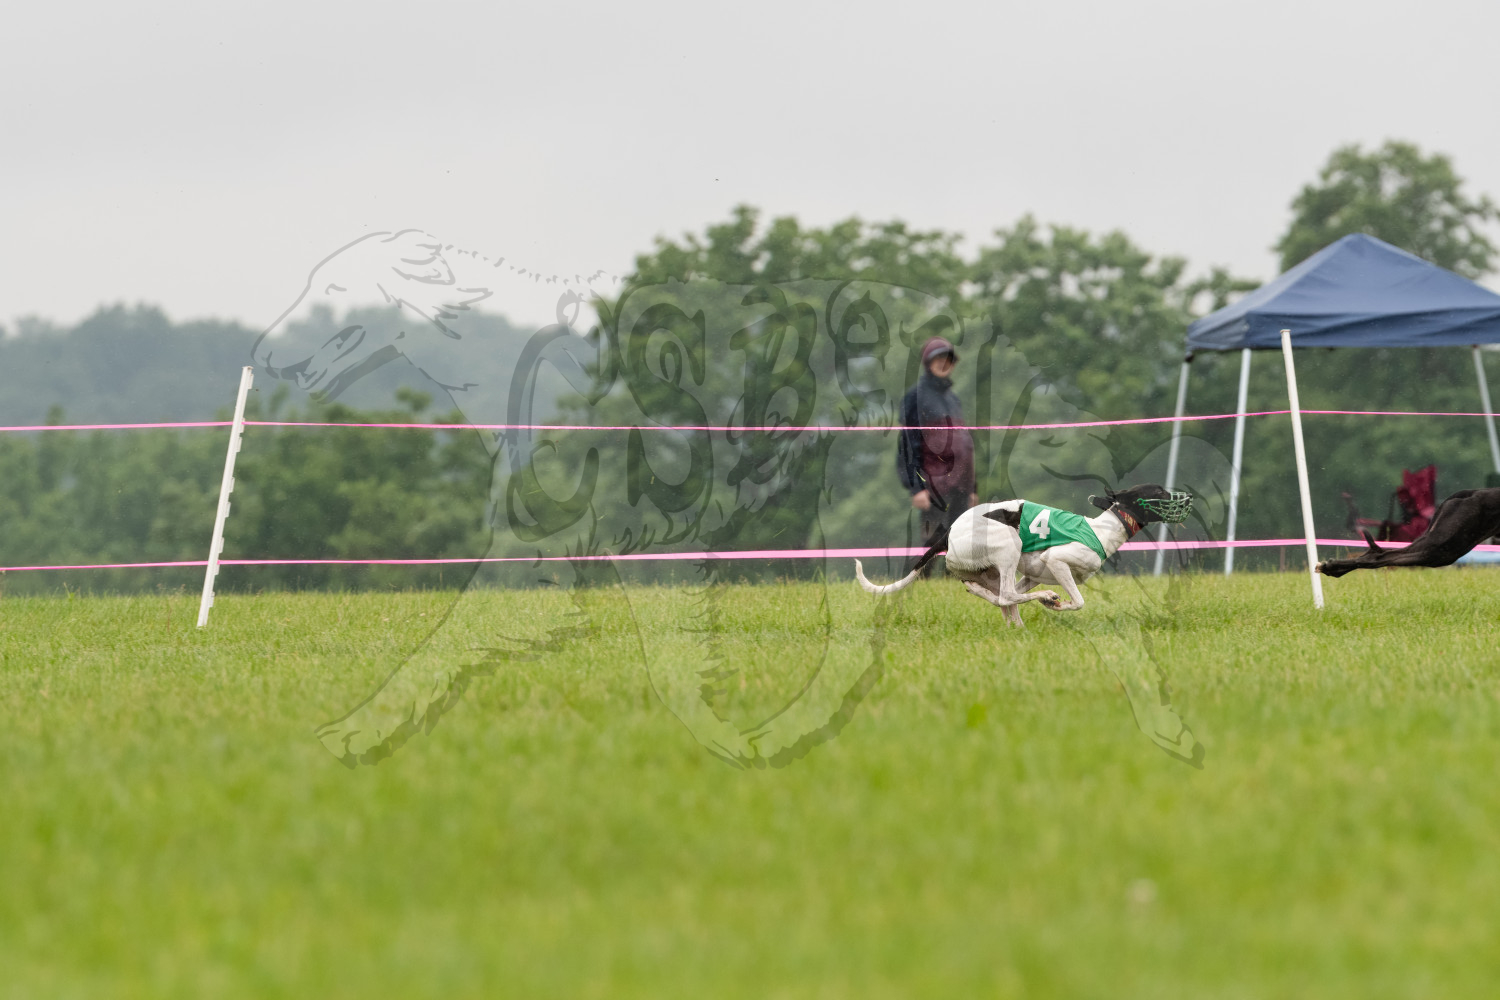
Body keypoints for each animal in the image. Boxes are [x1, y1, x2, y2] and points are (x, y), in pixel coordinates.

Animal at [855, 484, 1194, 625]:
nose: (1188, 497)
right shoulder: (1055, 561)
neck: (1103, 528)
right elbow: (1078, 601)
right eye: (1159, 492)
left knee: (999, 598)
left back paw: (1015, 622)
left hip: (989, 570)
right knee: (1005, 595)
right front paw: (1057, 603)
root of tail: (947, 533)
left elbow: (1016, 595)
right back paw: (1045, 598)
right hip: (1007, 545)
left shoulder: (1032, 575)